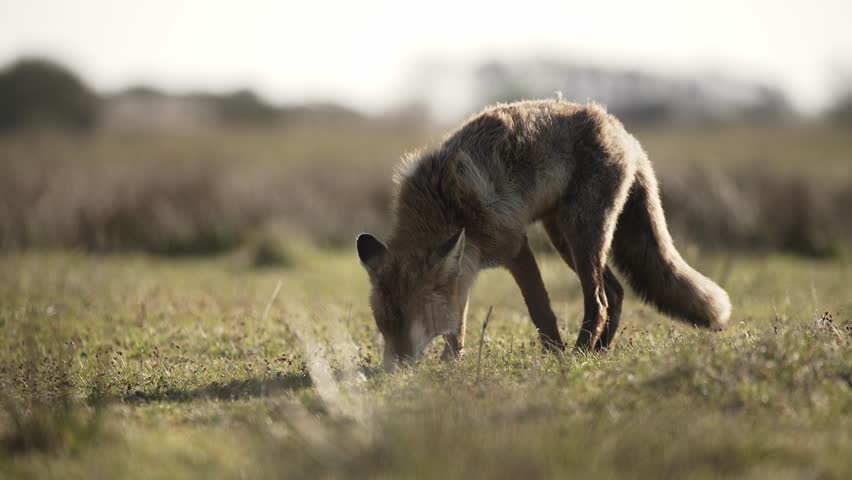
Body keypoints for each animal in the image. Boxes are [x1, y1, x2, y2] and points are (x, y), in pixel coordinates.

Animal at [357, 99, 731, 371]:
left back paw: (581, 353)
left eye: (412, 322)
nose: (391, 371)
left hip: (582, 234)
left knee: (599, 300)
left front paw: (556, 358)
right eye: (384, 325)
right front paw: (451, 365)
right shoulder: (464, 269)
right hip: (565, 238)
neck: (444, 207)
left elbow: (540, 310)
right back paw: (600, 351)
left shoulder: (514, 247)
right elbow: (458, 322)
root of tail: (621, 129)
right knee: (615, 292)